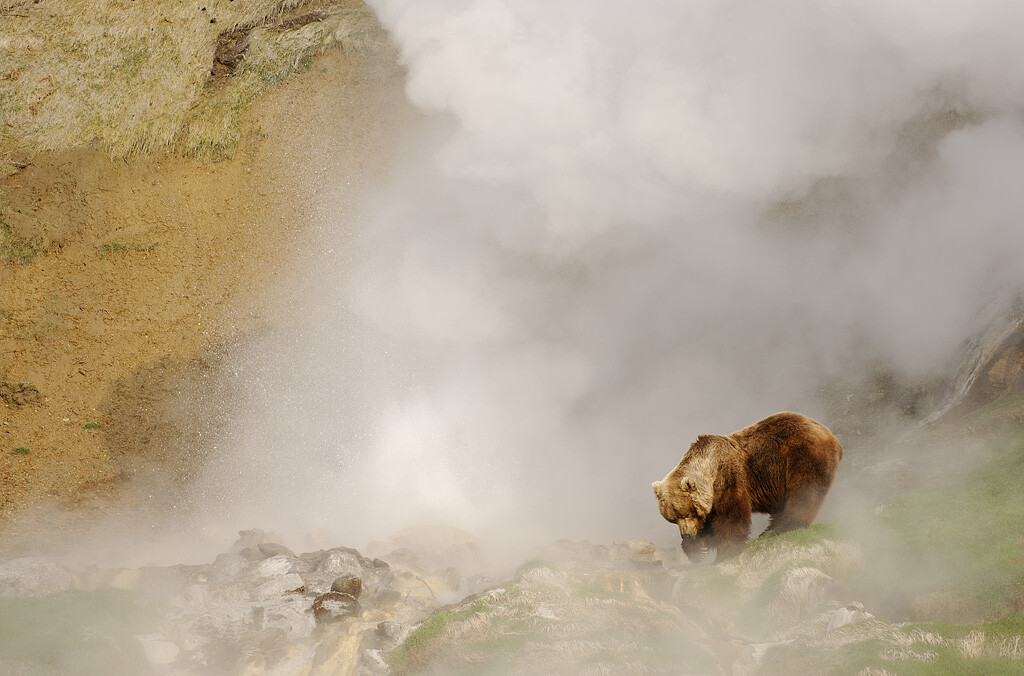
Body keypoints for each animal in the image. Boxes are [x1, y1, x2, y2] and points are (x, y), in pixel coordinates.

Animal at [651, 411, 843, 561]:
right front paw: (697, 547)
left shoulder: (729, 480)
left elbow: (731, 518)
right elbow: (710, 524)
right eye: (673, 518)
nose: (686, 534)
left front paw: (725, 553)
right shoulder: (712, 500)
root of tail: (831, 435)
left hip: (803, 457)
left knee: (804, 493)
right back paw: (769, 530)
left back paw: (783, 528)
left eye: (686, 512)